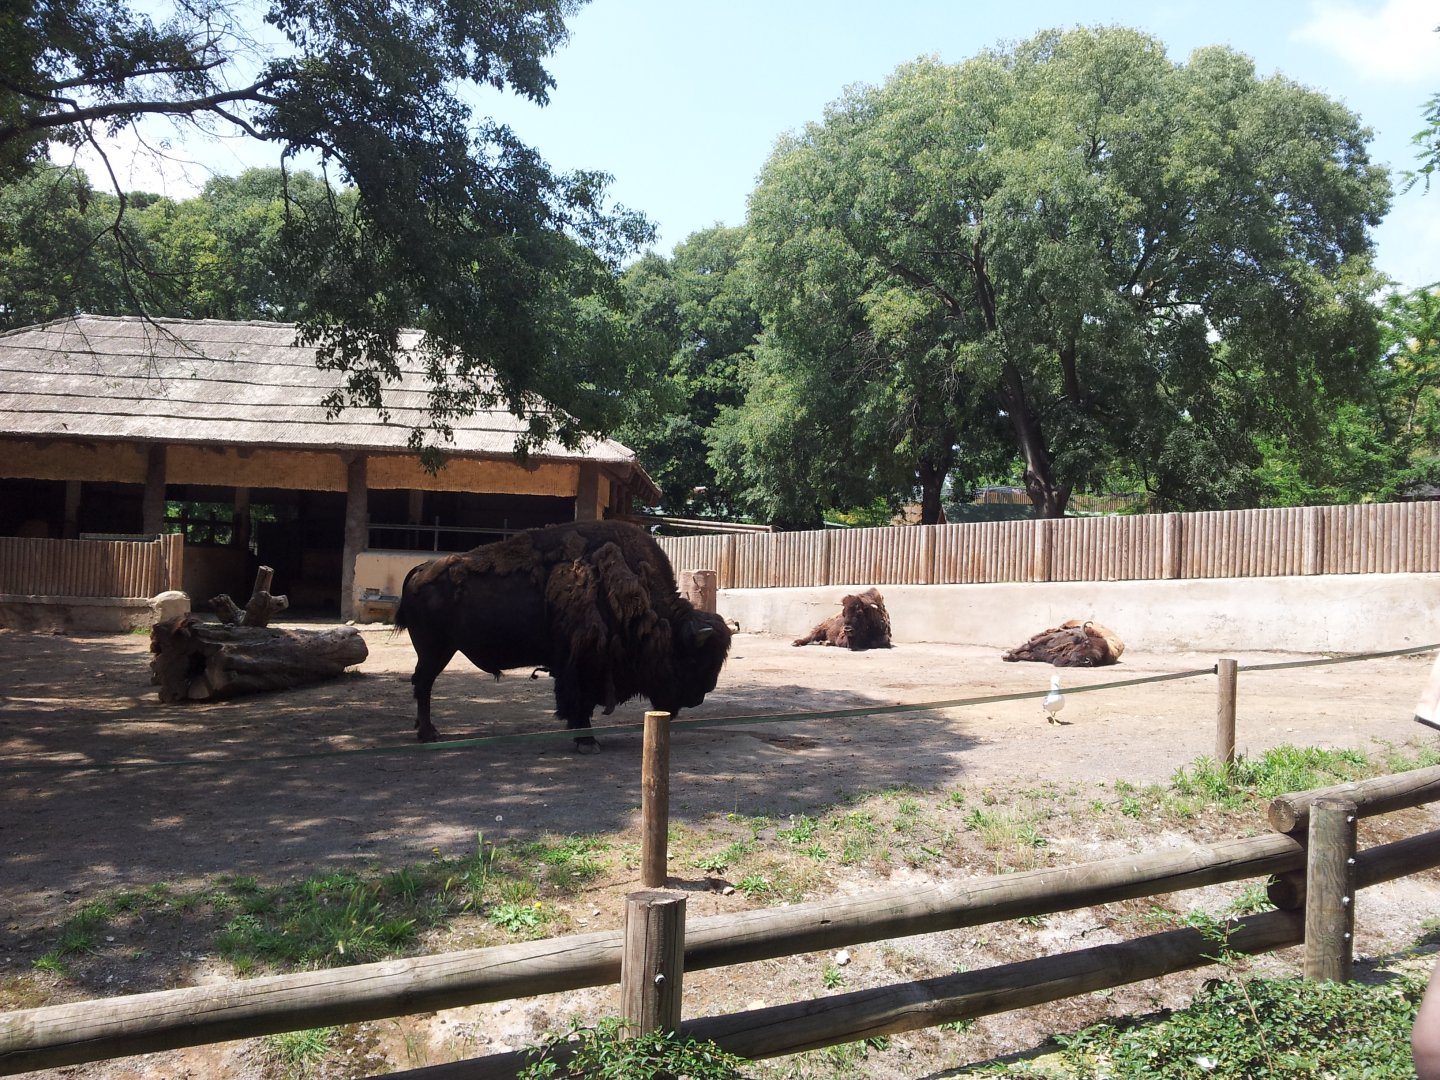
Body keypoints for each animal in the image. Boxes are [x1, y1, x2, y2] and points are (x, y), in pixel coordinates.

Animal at [395, 520, 732, 750]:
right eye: (694, 660)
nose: (698, 698)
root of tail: (419, 569)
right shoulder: (583, 663)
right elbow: (579, 700)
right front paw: (587, 741)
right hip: (435, 649)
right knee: (423, 684)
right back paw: (428, 733)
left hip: (438, 650)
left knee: (421, 683)